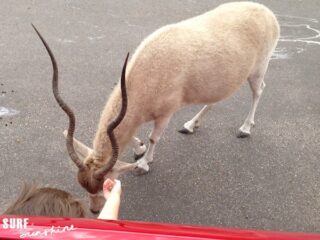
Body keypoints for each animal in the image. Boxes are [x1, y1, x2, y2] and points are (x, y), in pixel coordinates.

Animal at [32, 1, 278, 212]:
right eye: (83, 185)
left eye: (107, 183)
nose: (94, 210)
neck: (148, 71)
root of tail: (267, 12)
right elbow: (135, 135)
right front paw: (138, 149)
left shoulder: (166, 113)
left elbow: (153, 137)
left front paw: (144, 163)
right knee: (217, 100)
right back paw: (190, 125)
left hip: (258, 69)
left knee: (259, 91)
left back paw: (245, 128)